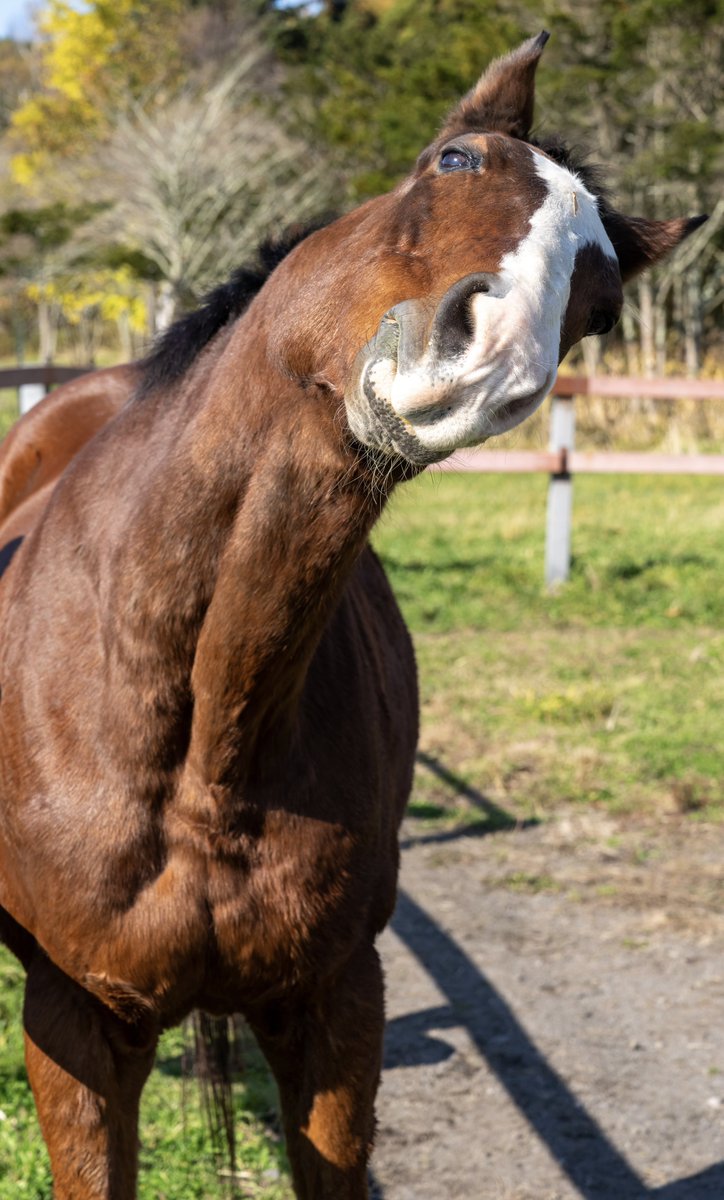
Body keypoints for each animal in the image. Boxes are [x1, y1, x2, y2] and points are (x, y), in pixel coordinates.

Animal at [0, 32, 704, 1200]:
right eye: (453, 160)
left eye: (601, 308)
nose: (489, 357)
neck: (200, 740)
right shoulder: (75, 1020)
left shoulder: (335, 1005)